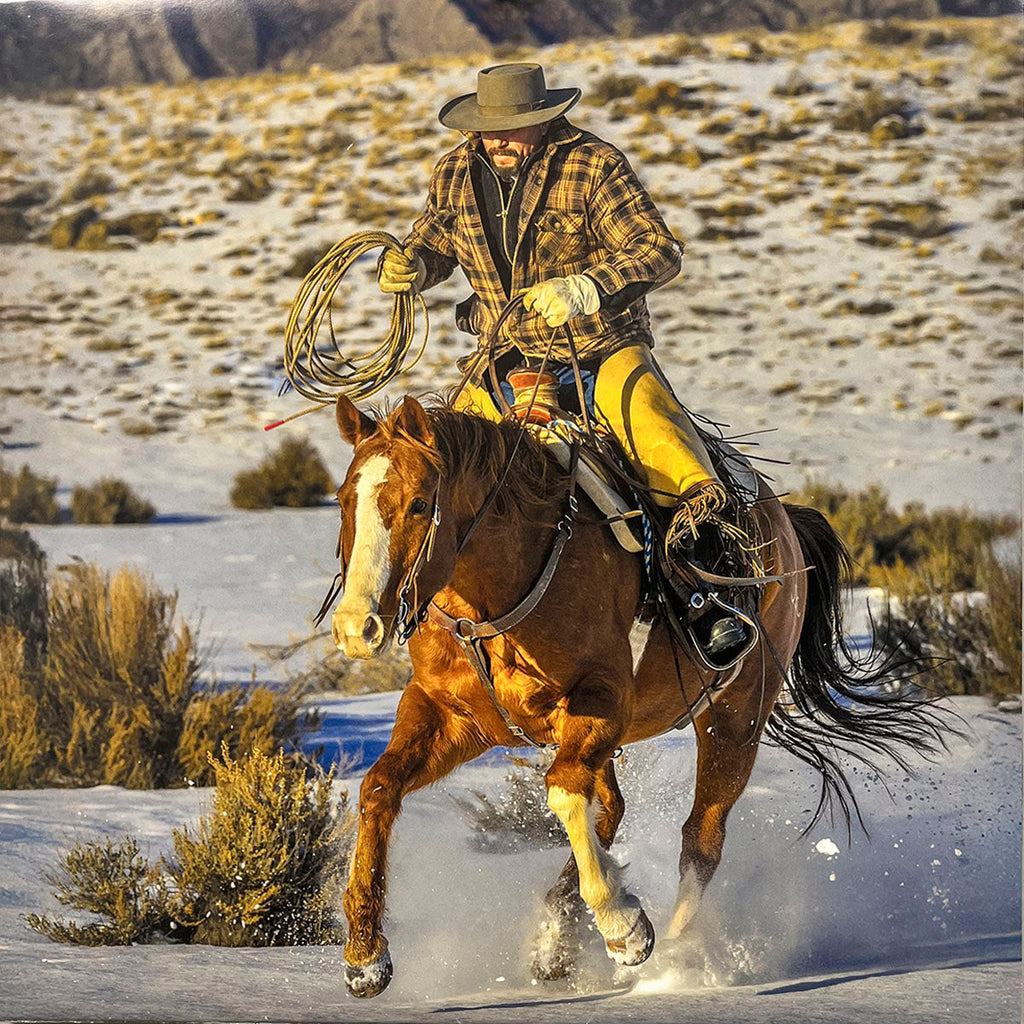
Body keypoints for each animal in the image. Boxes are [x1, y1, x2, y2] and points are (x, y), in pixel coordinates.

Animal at [325, 392, 946, 998]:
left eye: (417, 504)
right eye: (343, 501)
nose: (358, 625)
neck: (499, 596)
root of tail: (785, 526)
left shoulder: (601, 704)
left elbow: (563, 797)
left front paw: (623, 929)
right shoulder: (448, 716)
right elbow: (379, 789)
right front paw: (364, 955)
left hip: (735, 718)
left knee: (700, 839)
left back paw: (672, 958)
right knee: (613, 808)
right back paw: (556, 942)